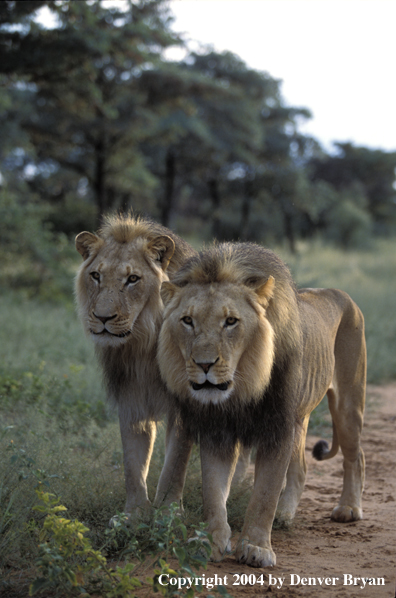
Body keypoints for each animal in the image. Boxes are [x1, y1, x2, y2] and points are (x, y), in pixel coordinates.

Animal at [73, 214, 197, 516]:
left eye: (132, 279)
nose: (103, 318)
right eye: (96, 276)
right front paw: (135, 514)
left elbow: (176, 462)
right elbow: (132, 461)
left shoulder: (185, 405)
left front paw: (168, 512)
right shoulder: (131, 398)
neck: (143, 346)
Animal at [157, 243, 366, 568]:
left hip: (347, 404)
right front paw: (210, 542)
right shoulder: (217, 432)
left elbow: (265, 493)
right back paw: (285, 515)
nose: (204, 364)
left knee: (356, 457)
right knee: (302, 468)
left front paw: (256, 547)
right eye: (187, 321)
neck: (242, 389)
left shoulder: (278, 428)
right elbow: (213, 492)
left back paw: (349, 509)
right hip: (300, 419)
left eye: (231, 321)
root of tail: (341, 294)